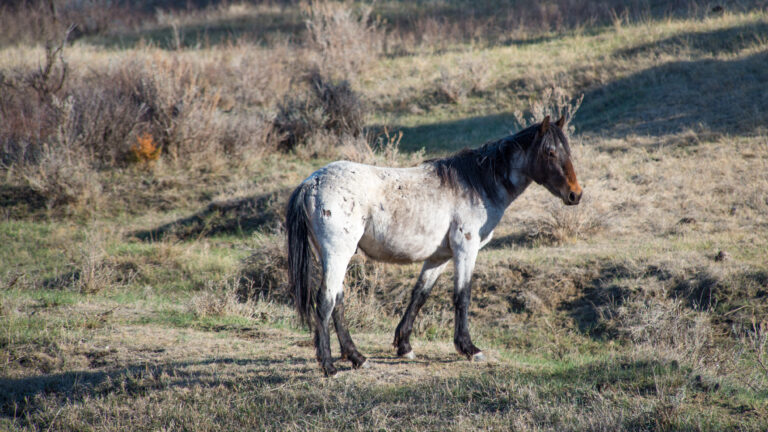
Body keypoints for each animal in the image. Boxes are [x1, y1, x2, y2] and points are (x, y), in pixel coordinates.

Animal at [286, 115, 582, 376]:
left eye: (567, 150)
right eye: (550, 152)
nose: (575, 195)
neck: (478, 183)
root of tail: (310, 184)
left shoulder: (439, 257)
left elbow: (419, 295)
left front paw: (404, 346)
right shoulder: (465, 249)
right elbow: (462, 296)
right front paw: (468, 348)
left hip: (333, 256)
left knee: (338, 301)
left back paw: (357, 357)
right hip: (337, 254)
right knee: (325, 302)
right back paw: (329, 366)